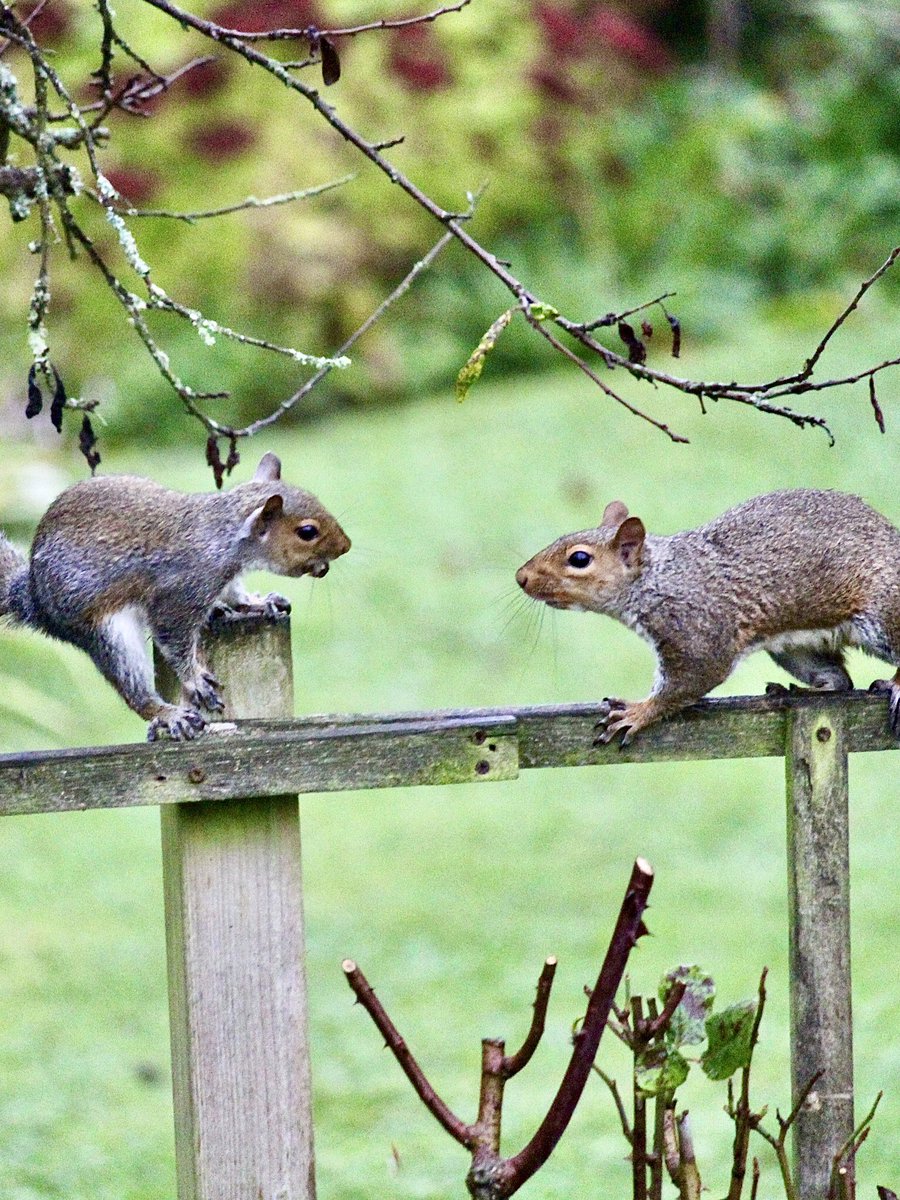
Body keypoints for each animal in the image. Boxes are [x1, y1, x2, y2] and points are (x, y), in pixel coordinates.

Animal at [0, 452, 350, 742]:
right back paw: (168, 714)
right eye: (307, 532)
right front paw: (194, 678)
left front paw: (255, 602)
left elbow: (234, 592)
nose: (345, 546)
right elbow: (172, 635)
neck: (222, 538)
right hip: (106, 632)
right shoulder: (181, 591)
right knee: (133, 687)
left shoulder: (224, 578)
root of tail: (33, 597)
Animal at [515, 489, 900, 745]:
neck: (659, 578)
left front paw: (638, 712)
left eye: (579, 559)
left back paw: (893, 685)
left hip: (884, 613)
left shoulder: (697, 629)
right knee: (838, 680)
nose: (521, 577)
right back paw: (800, 692)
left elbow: (693, 678)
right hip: (795, 649)